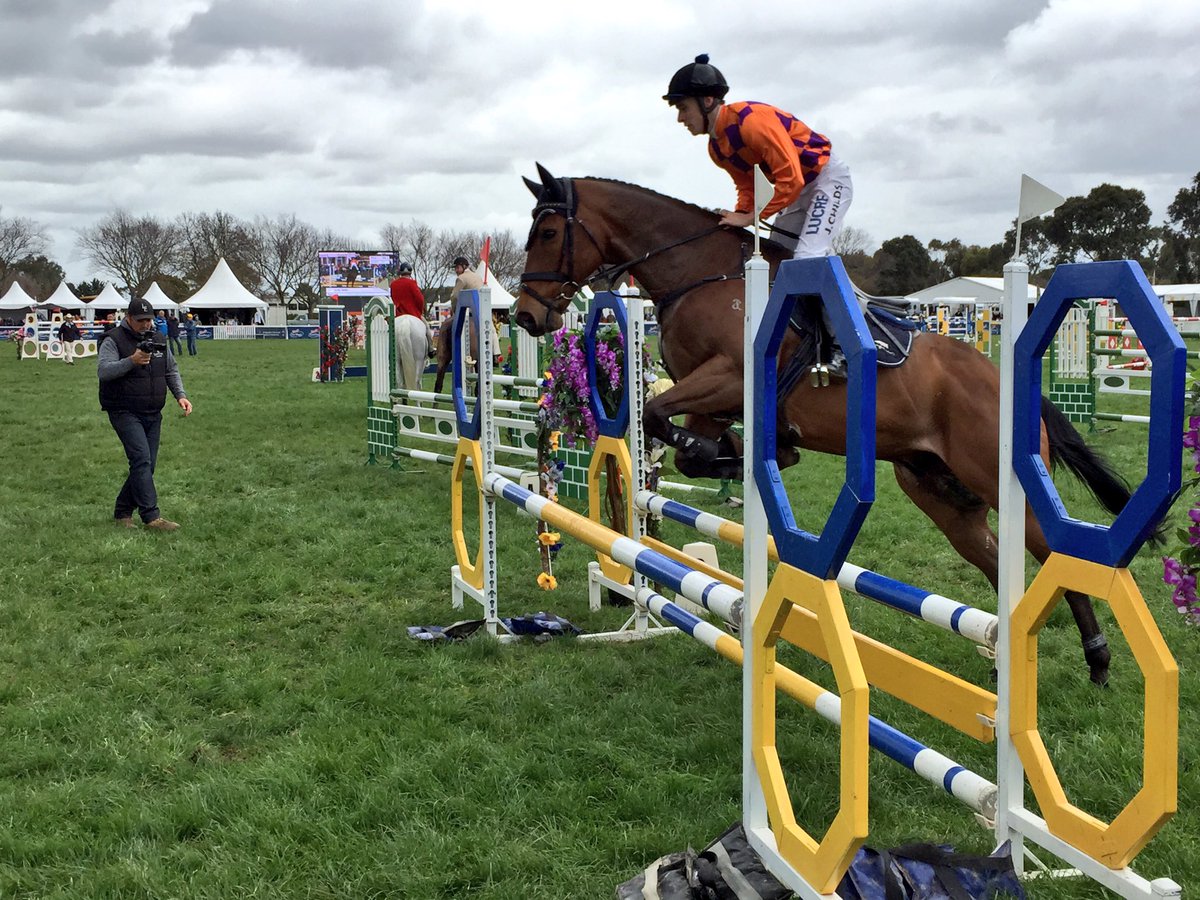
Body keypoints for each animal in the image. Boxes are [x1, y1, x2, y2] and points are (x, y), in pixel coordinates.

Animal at [512, 163, 1135, 686]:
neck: (700, 274)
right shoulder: (708, 397)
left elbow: (667, 423)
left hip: (998, 480)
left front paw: (751, 453)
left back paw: (1097, 657)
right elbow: (680, 441)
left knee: (1051, 553)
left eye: (549, 232)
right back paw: (1005, 658)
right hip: (940, 494)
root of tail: (1001, 380)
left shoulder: (729, 376)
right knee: (997, 561)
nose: (526, 315)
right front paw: (740, 453)